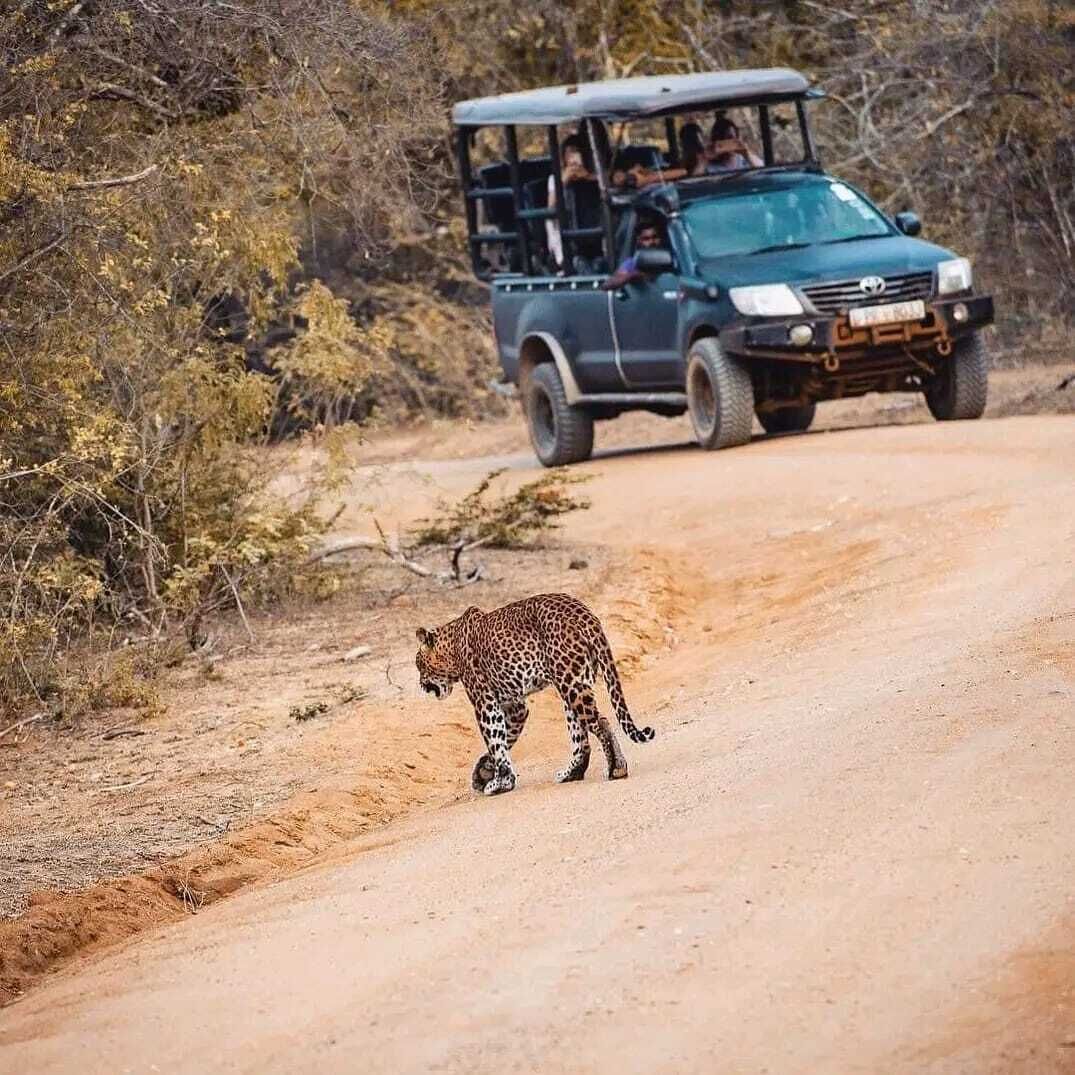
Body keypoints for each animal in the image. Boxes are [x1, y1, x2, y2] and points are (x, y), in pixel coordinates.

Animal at [415, 593, 654, 796]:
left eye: (418, 665)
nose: (421, 686)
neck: (451, 647)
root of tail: (585, 614)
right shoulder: (515, 707)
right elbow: (504, 739)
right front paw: (485, 771)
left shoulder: (485, 702)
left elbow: (495, 739)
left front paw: (500, 782)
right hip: (574, 682)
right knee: (580, 736)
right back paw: (572, 773)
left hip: (571, 682)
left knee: (600, 722)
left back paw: (616, 768)